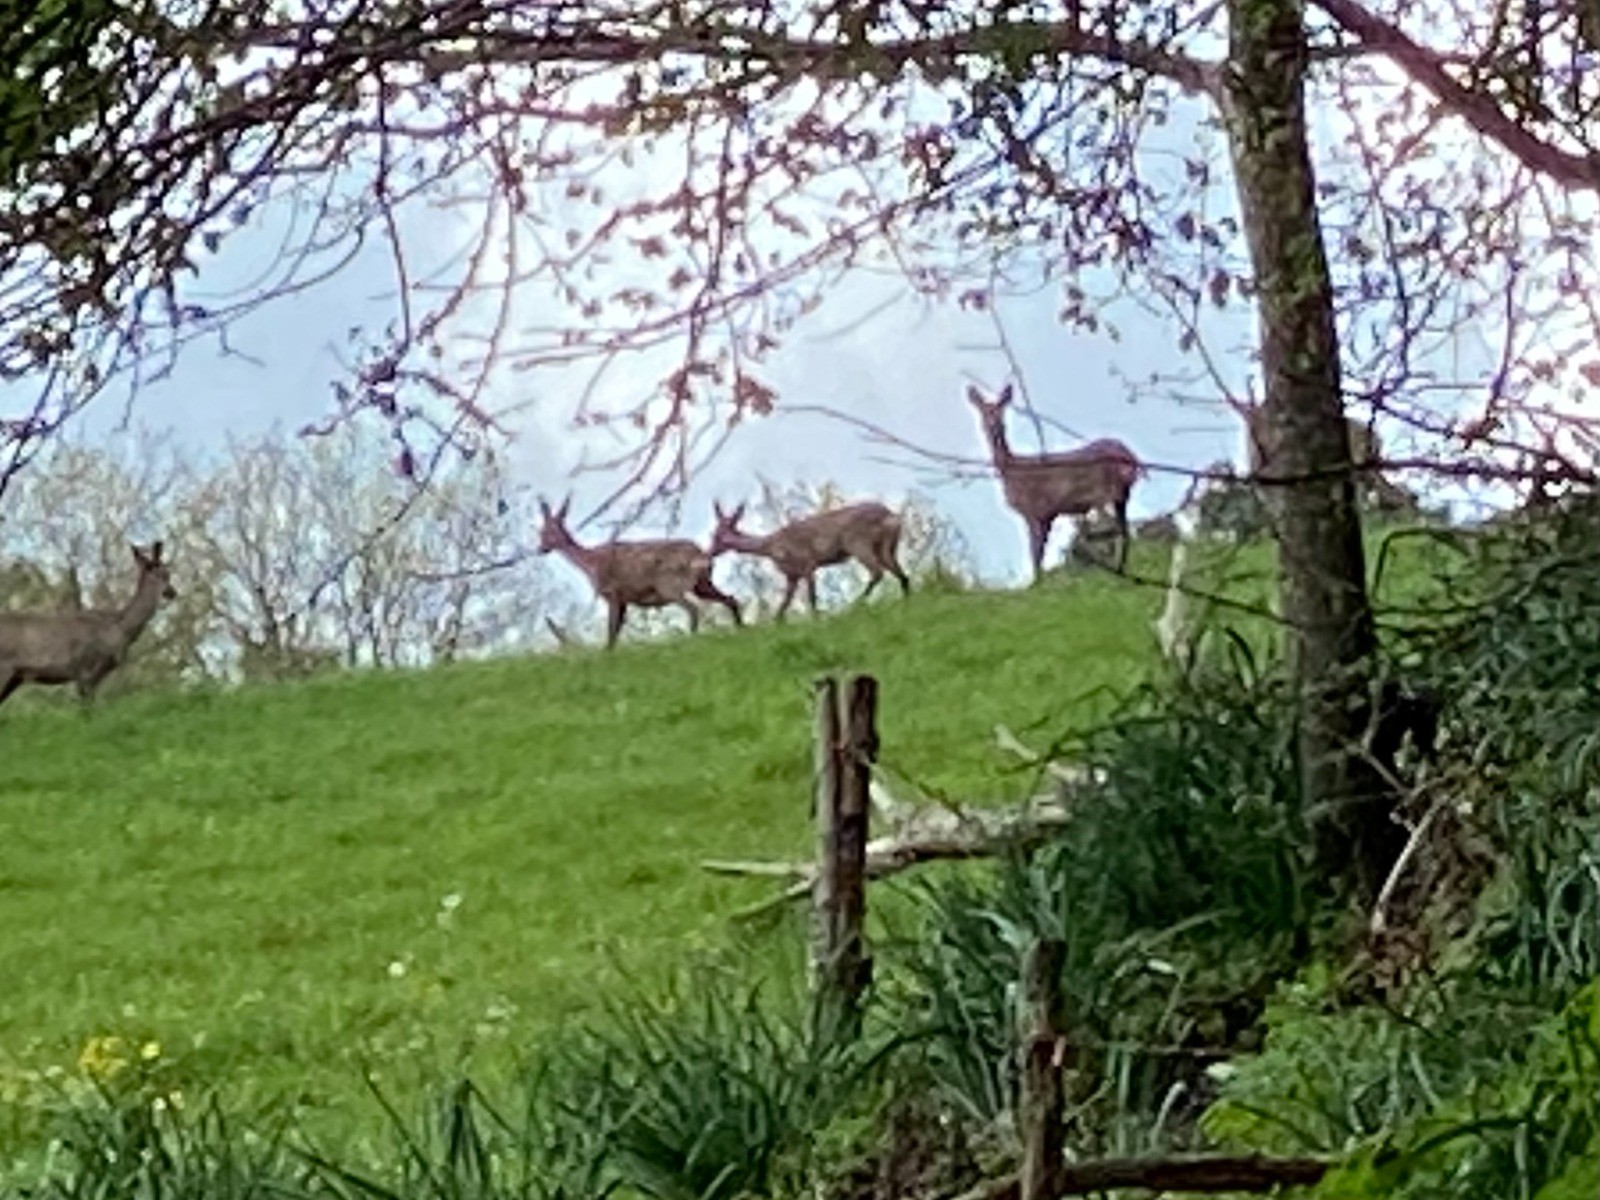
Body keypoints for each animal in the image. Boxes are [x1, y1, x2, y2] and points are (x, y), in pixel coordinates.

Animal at [0, 541, 177, 711]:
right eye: (163, 573)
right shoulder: (86, 669)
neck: (119, 628)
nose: (173, 592)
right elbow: (87, 710)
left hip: (15, 677)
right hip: (4, 668)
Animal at [535, 497, 742, 649]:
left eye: (544, 531)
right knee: (730, 598)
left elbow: (611, 629)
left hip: (669, 585)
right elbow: (617, 629)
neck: (590, 563)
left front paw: (606, 652)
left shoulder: (612, 593)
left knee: (693, 609)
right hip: (703, 583)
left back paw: (693, 640)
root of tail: (701, 555)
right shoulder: (624, 599)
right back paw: (740, 628)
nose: (540, 548)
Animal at [708, 499, 909, 621]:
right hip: (887, 546)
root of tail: (892, 516)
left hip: (858, 543)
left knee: (877, 572)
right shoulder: (792, 575)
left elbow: (812, 597)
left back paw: (854, 606)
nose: (709, 552)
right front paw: (777, 623)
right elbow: (785, 602)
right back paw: (907, 599)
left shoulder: (807, 564)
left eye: (715, 536)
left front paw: (817, 619)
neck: (771, 546)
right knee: (901, 573)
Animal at [965, 383, 1144, 580]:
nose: (994, 427)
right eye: (983, 413)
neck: (1010, 470)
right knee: (1124, 530)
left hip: (1102, 492)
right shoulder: (1047, 515)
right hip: (1121, 496)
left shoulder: (1034, 510)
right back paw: (1120, 569)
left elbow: (1034, 552)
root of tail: (1130, 457)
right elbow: (1040, 551)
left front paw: (1037, 582)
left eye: (1001, 413)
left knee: (1114, 528)